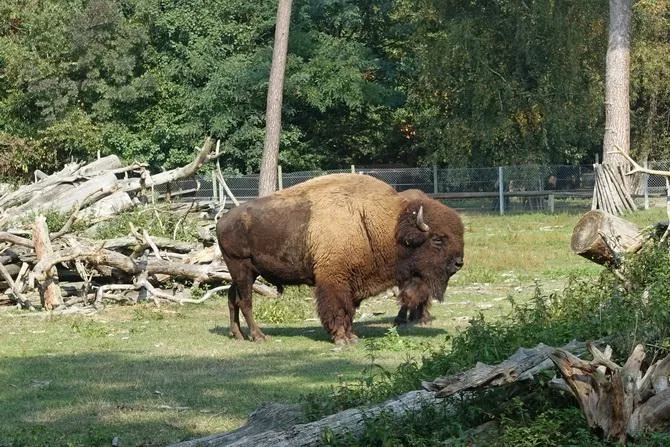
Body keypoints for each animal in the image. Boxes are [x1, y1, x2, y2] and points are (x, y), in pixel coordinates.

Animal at [216, 173, 464, 344]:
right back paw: (258, 336)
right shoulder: (333, 279)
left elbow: (350, 310)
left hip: (244, 272)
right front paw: (341, 338)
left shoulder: (354, 283)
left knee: (232, 298)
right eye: (438, 239)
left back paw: (237, 334)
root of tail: (222, 221)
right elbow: (336, 308)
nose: (459, 262)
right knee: (245, 302)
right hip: (241, 269)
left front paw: (351, 336)